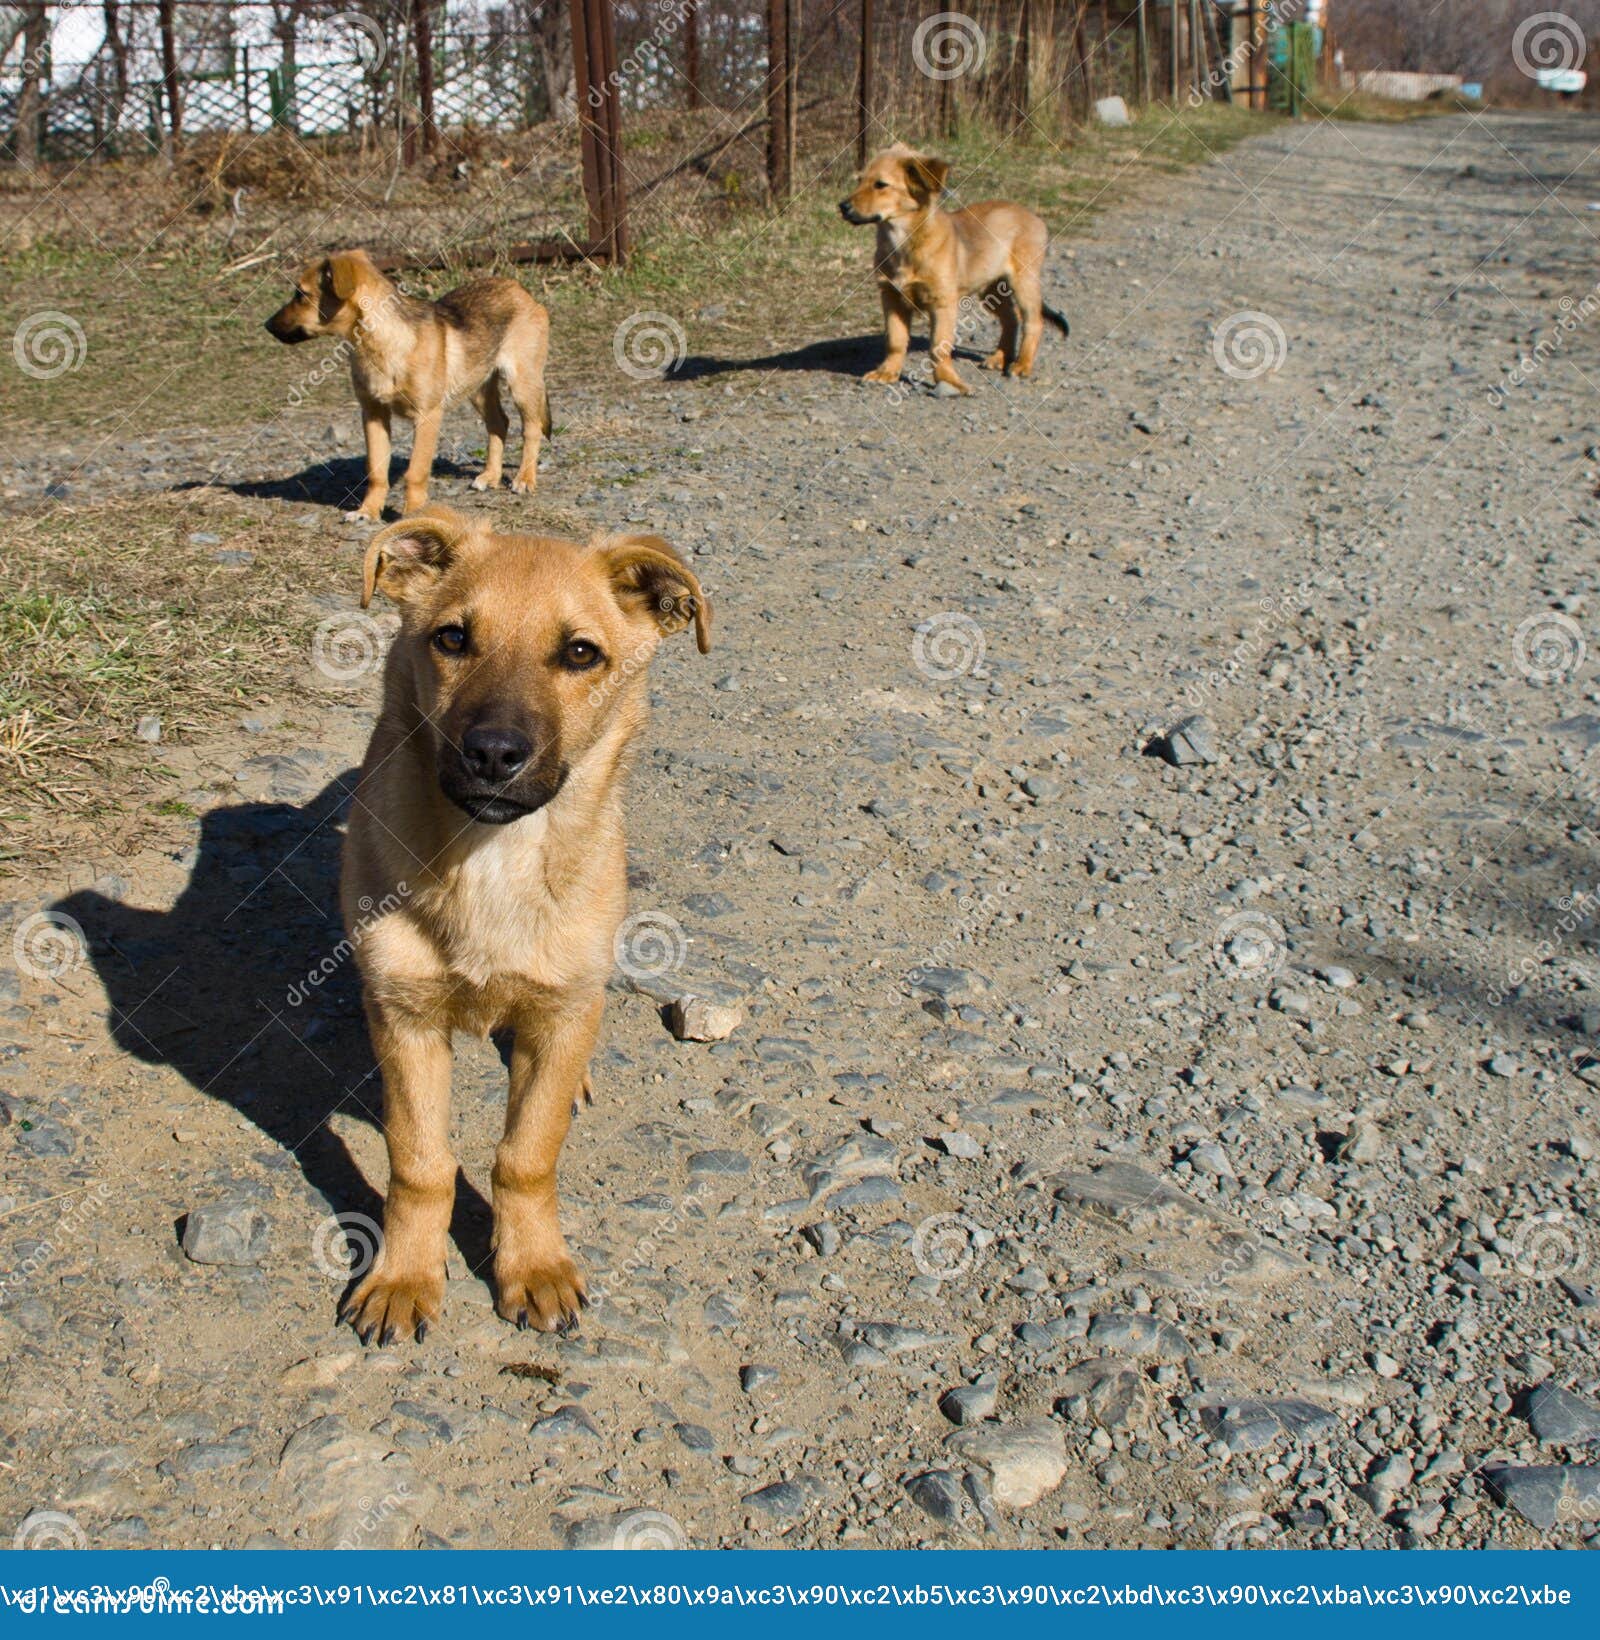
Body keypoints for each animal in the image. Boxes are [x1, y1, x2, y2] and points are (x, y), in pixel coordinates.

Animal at [263, 249, 550, 521]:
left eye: (301, 294)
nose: (265, 325)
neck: (379, 342)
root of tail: (519, 288)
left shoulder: (427, 416)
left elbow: (416, 471)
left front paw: (413, 513)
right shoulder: (373, 415)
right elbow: (376, 471)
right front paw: (368, 511)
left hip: (522, 383)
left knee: (531, 428)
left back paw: (524, 478)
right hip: (477, 387)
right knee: (499, 423)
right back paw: (490, 476)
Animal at [342, 505, 704, 1338]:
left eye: (580, 653)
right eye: (451, 638)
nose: (493, 754)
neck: (493, 859)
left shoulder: (564, 1005)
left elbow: (527, 1156)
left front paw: (532, 1265)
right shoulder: (405, 1015)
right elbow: (419, 1163)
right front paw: (405, 1276)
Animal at [836, 143, 1075, 393]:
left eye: (881, 185)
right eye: (859, 180)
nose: (842, 207)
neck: (904, 241)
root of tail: (1033, 216)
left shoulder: (943, 303)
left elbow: (938, 346)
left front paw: (947, 380)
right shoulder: (891, 296)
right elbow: (895, 339)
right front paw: (888, 372)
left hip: (1023, 282)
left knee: (1033, 321)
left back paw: (1022, 364)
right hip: (990, 288)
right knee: (1011, 319)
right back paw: (999, 358)